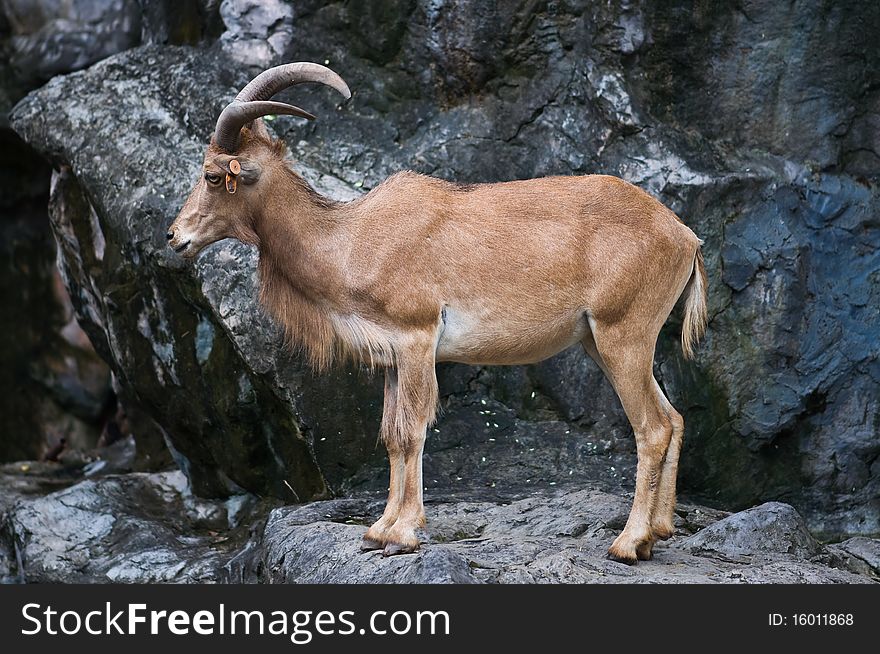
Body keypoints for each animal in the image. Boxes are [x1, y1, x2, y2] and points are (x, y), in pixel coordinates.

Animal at [170, 62, 708, 564]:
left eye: (213, 176)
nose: (175, 237)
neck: (349, 240)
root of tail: (685, 235)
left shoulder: (417, 338)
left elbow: (411, 431)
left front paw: (403, 533)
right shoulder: (392, 357)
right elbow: (390, 435)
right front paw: (377, 530)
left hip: (623, 334)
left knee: (652, 428)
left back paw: (628, 542)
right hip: (603, 342)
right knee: (674, 417)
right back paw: (660, 532)